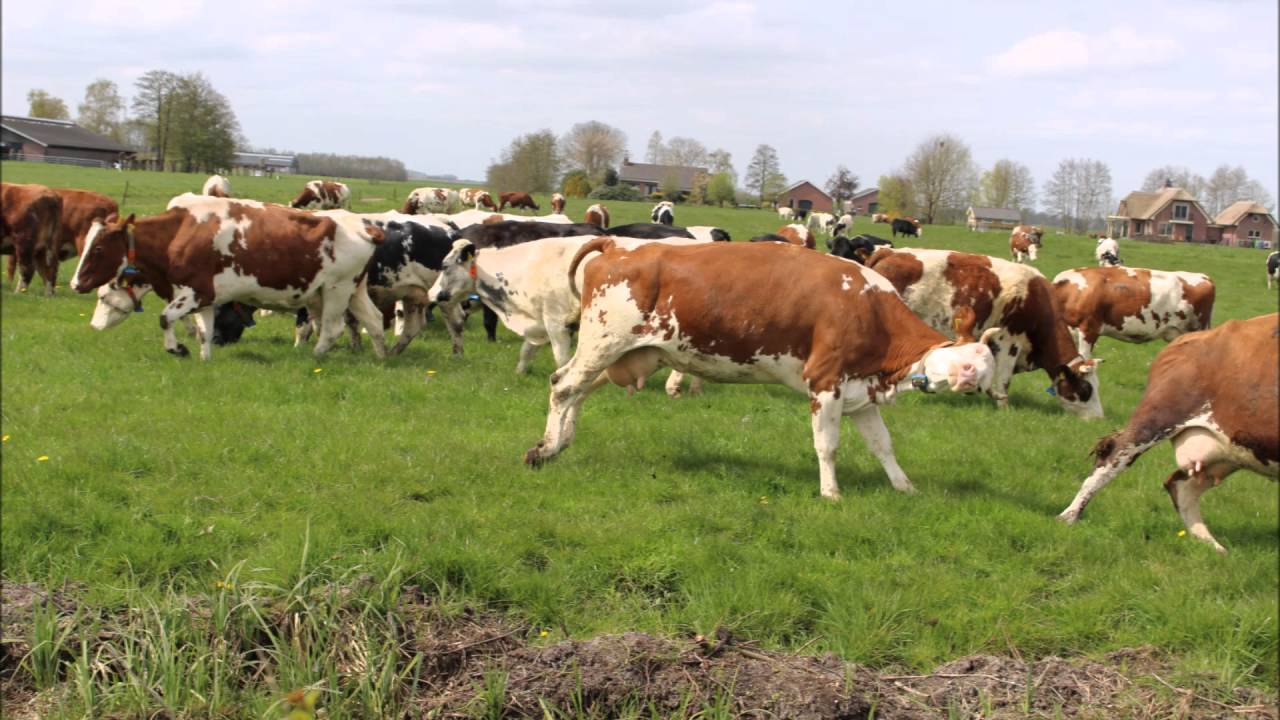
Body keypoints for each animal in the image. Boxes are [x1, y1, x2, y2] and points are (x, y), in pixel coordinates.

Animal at [69, 195, 387, 361]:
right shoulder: (208, 297)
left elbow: (165, 318)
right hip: (353, 291)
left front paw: (177, 349)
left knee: (332, 329)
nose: (75, 284)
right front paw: (204, 358)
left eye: (98, 248)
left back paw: (314, 358)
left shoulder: (196, 291)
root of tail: (363, 225)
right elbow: (205, 330)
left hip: (336, 289)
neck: (180, 232)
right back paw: (382, 357)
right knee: (374, 320)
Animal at [521, 239, 998, 499]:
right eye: (966, 360)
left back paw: (559, 445)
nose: (970, 383)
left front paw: (904, 487)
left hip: (624, 353)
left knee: (577, 391)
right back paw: (545, 449)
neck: (869, 309)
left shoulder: (861, 393)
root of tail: (618, 246)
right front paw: (831, 492)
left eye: (986, 368)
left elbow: (884, 446)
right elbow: (827, 446)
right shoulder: (825, 383)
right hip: (604, 341)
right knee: (562, 385)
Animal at [865, 247, 1104, 417]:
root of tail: (889, 251)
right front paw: (1004, 408)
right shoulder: (1009, 340)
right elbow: (1004, 380)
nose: (1098, 419)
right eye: (1086, 390)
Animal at [1058, 313, 1278, 553]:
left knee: (1180, 486)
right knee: (1113, 458)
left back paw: (1212, 546)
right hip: (1158, 417)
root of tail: (1186, 340)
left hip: (1228, 451)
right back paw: (1068, 517)